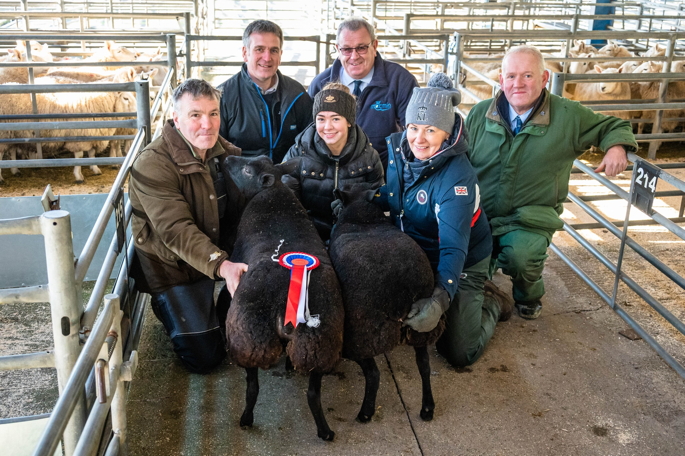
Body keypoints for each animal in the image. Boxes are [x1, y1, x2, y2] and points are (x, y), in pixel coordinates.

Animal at [223, 155, 345, 441]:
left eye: (247, 170)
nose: (227, 157)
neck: (272, 193)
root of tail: (281, 308)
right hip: (318, 346)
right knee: (313, 393)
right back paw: (325, 431)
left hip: (248, 338)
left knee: (252, 388)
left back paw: (246, 419)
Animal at [328, 186, 445, 423]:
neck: (364, 220)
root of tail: (401, 294)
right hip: (421, 328)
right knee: (424, 365)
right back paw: (427, 408)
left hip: (362, 335)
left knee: (373, 374)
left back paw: (365, 413)